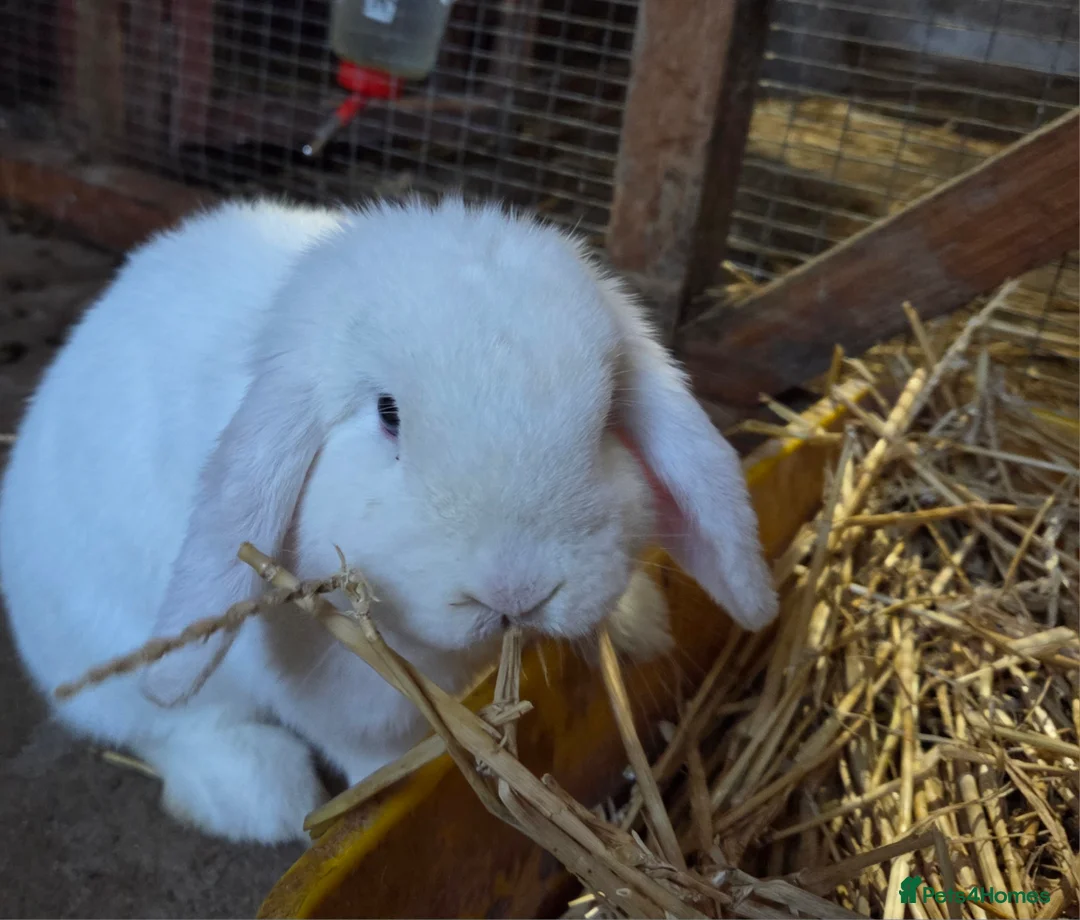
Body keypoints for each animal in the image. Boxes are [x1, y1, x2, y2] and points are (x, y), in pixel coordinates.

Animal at [0, 196, 778, 846]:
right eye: (388, 414)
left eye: (609, 412)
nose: (517, 592)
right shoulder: (341, 693)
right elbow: (369, 747)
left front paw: (641, 628)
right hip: (108, 655)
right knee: (170, 724)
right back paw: (265, 798)